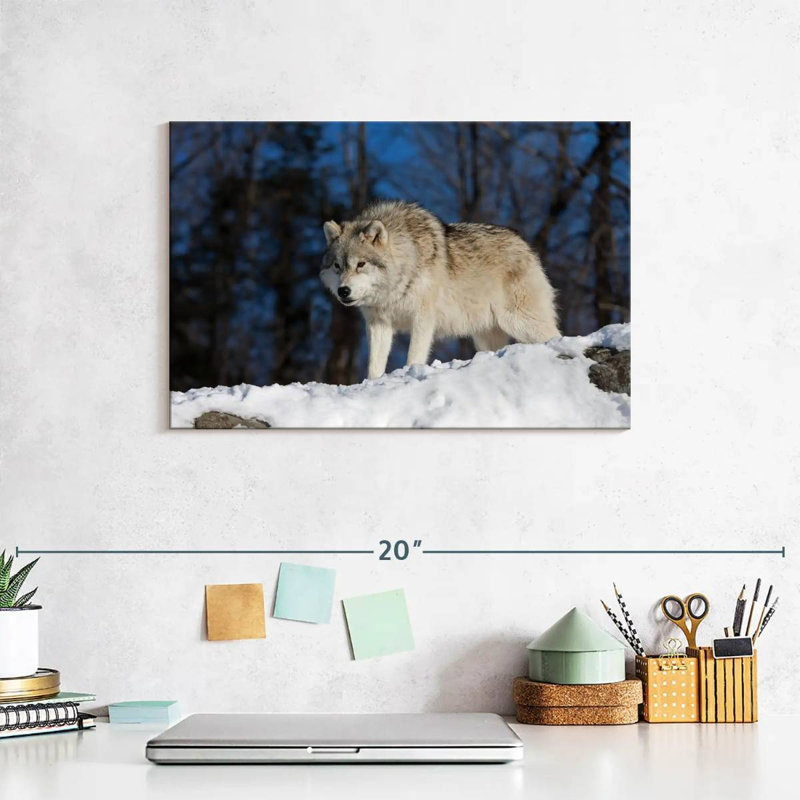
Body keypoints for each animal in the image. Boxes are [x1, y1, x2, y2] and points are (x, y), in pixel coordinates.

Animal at [320, 201, 560, 380]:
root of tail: (524, 244)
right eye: (337, 266)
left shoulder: (423, 318)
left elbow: (414, 356)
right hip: (485, 336)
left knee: (555, 335)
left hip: (520, 322)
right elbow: (374, 367)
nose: (343, 291)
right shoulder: (379, 324)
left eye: (360, 264)